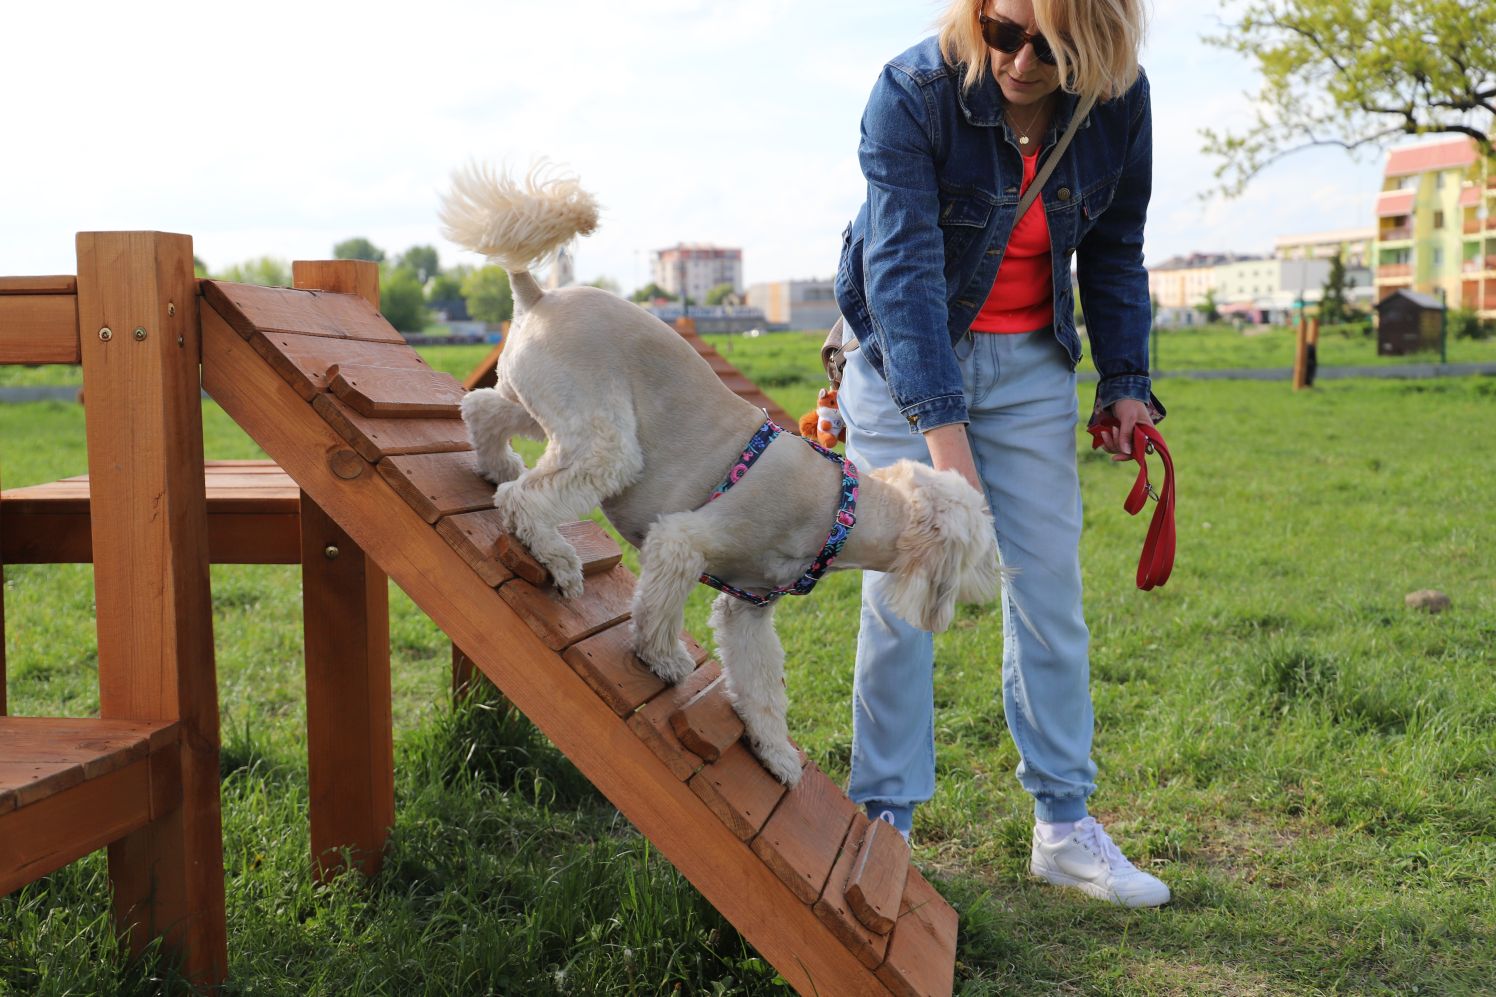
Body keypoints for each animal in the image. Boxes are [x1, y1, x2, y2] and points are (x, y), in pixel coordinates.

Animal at [442, 160, 1005, 784]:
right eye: (982, 548)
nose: (1002, 581)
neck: (842, 512)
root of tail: (538, 295)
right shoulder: (680, 543)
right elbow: (658, 613)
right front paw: (663, 660)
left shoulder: (749, 610)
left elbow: (761, 685)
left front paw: (776, 754)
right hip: (603, 443)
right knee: (524, 498)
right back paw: (558, 560)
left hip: (543, 407)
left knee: (481, 410)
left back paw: (494, 466)